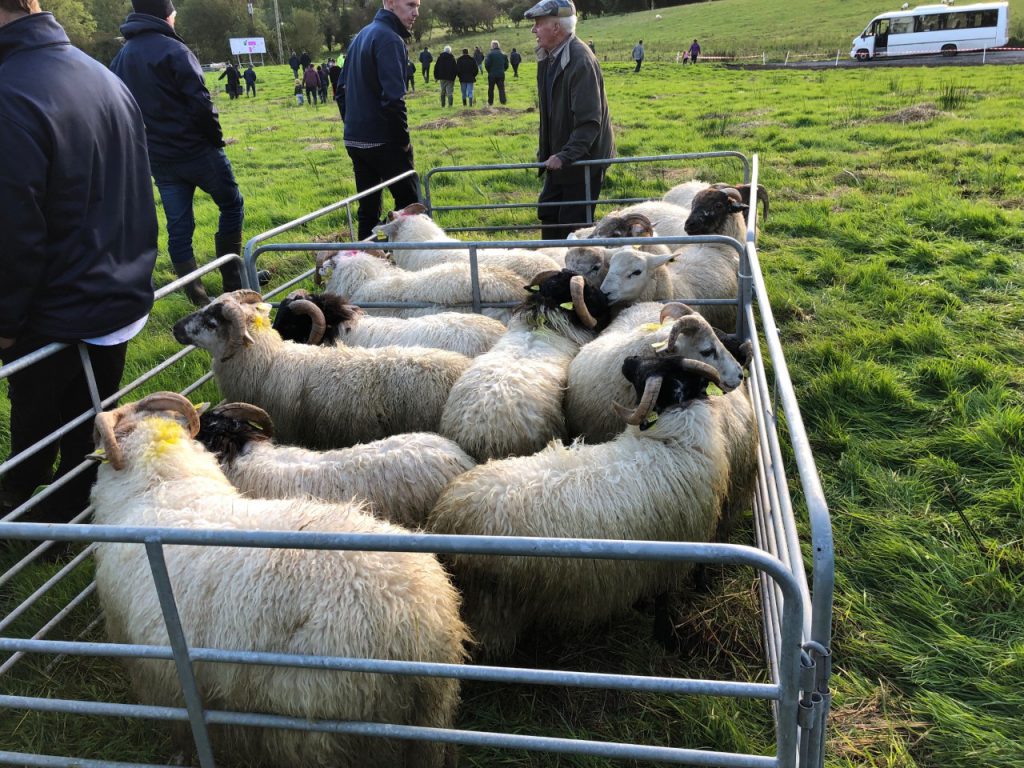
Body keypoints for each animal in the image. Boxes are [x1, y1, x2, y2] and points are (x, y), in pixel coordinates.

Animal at [426, 329, 755, 658]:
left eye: (656, 366)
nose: (629, 360)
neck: (670, 438)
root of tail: (448, 512)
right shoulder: (672, 555)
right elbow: (663, 601)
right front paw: (666, 637)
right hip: (493, 606)